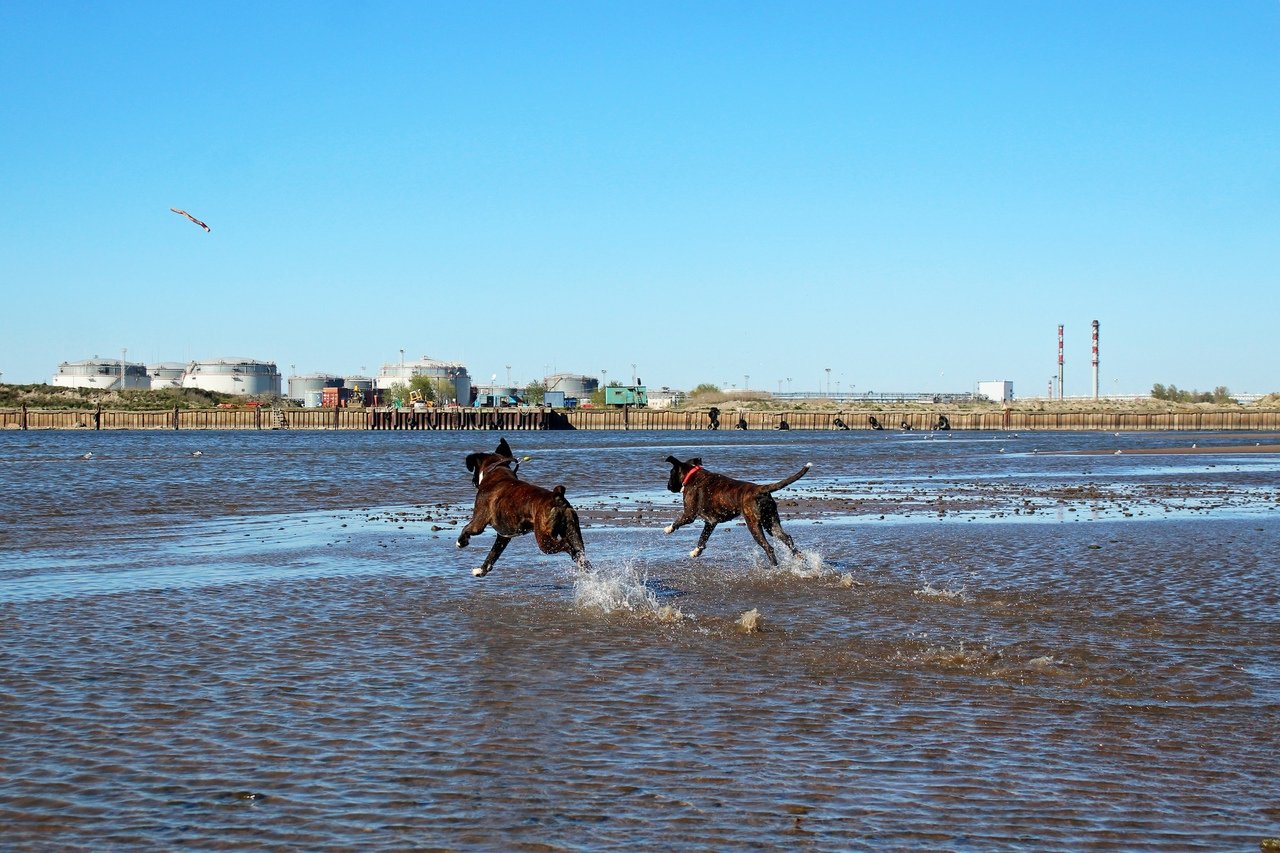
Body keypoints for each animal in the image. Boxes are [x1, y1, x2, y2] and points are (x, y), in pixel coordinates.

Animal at [456, 438, 589, 577]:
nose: (472, 481)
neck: (496, 470)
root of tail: (557, 495)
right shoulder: (503, 537)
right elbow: (493, 554)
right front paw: (482, 570)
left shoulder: (478, 522)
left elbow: (466, 528)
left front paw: (461, 542)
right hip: (573, 531)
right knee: (579, 553)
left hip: (545, 541)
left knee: (566, 545)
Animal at [662, 455, 811, 565]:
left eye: (670, 473)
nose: (668, 486)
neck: (693, 475)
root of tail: (760, 489)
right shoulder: (710, 523)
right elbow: (703, 538)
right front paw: (696, 552)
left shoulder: (689, 514)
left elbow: (678, 521)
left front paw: (669, 529)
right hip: (771, 523)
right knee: (788, 539)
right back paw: (800, 558)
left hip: (754, 525)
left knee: (769, 547)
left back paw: (774, 567)